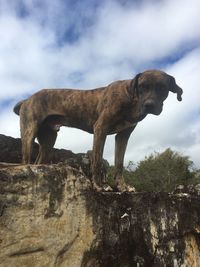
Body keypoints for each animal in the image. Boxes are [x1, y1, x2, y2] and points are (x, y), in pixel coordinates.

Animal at [14, 70, 183, 192]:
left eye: (162, 88)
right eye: (142, 86)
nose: (149, 105)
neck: (131, 98)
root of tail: (26, 100)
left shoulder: (123, 136)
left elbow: (119, 163)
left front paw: (122, 186)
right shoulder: (100, 129)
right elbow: (97, 160)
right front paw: (99, 186)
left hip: (49, 140)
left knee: (38, 163)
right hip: (29, 131)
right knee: (25, 159)